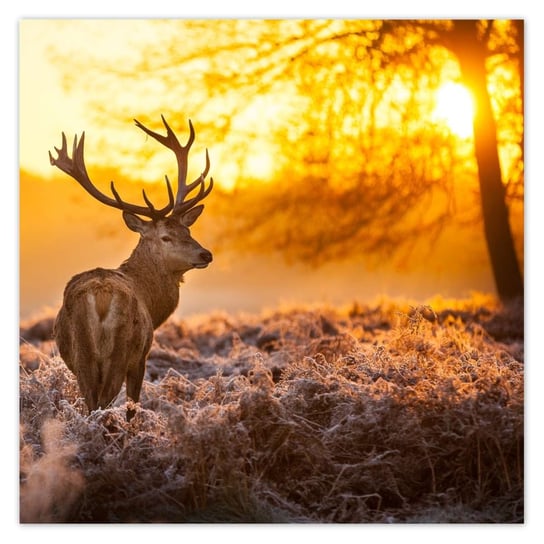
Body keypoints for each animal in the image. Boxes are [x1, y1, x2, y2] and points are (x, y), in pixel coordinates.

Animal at [49, 115, 214, 420]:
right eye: (166, 237)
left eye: (188, 230)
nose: (206, 254)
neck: (152, 302)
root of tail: (101, 297)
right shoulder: (141, 356)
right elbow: (132, 407)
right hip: (121, 351)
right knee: (104, 403)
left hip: (81, 356)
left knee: (91, 403)